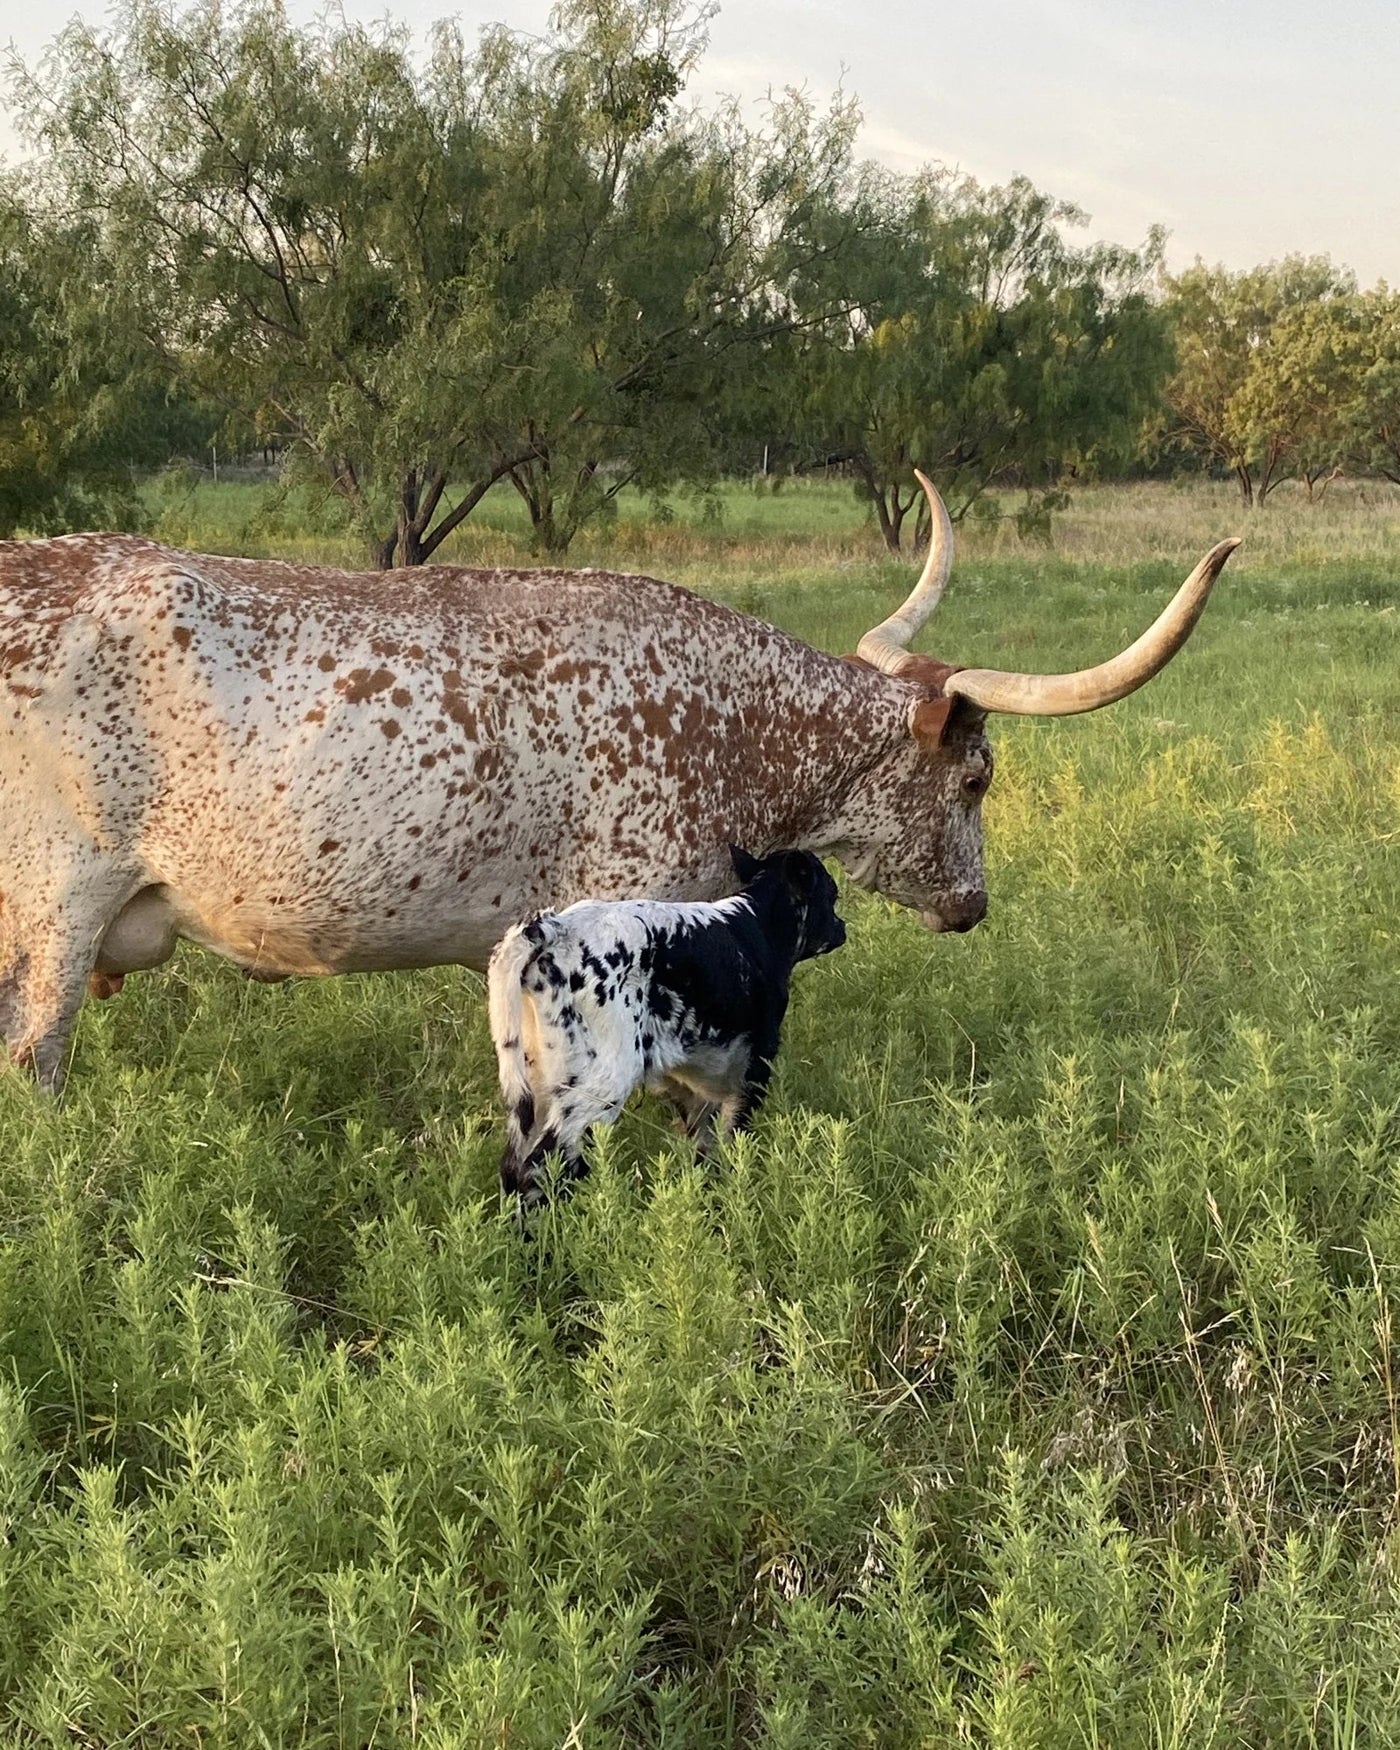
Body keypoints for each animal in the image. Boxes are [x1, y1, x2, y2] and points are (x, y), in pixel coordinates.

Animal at [487, 845, 846, 1204]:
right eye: (832, 893)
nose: (842, 927)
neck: (758, 928)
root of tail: (554, 927)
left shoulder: (691, 1081)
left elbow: (704, 1147)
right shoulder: (754, 1067)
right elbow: (734, 1141)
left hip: (537, 1079)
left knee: (513, 1166)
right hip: (600, 1084)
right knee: (541, 1167)